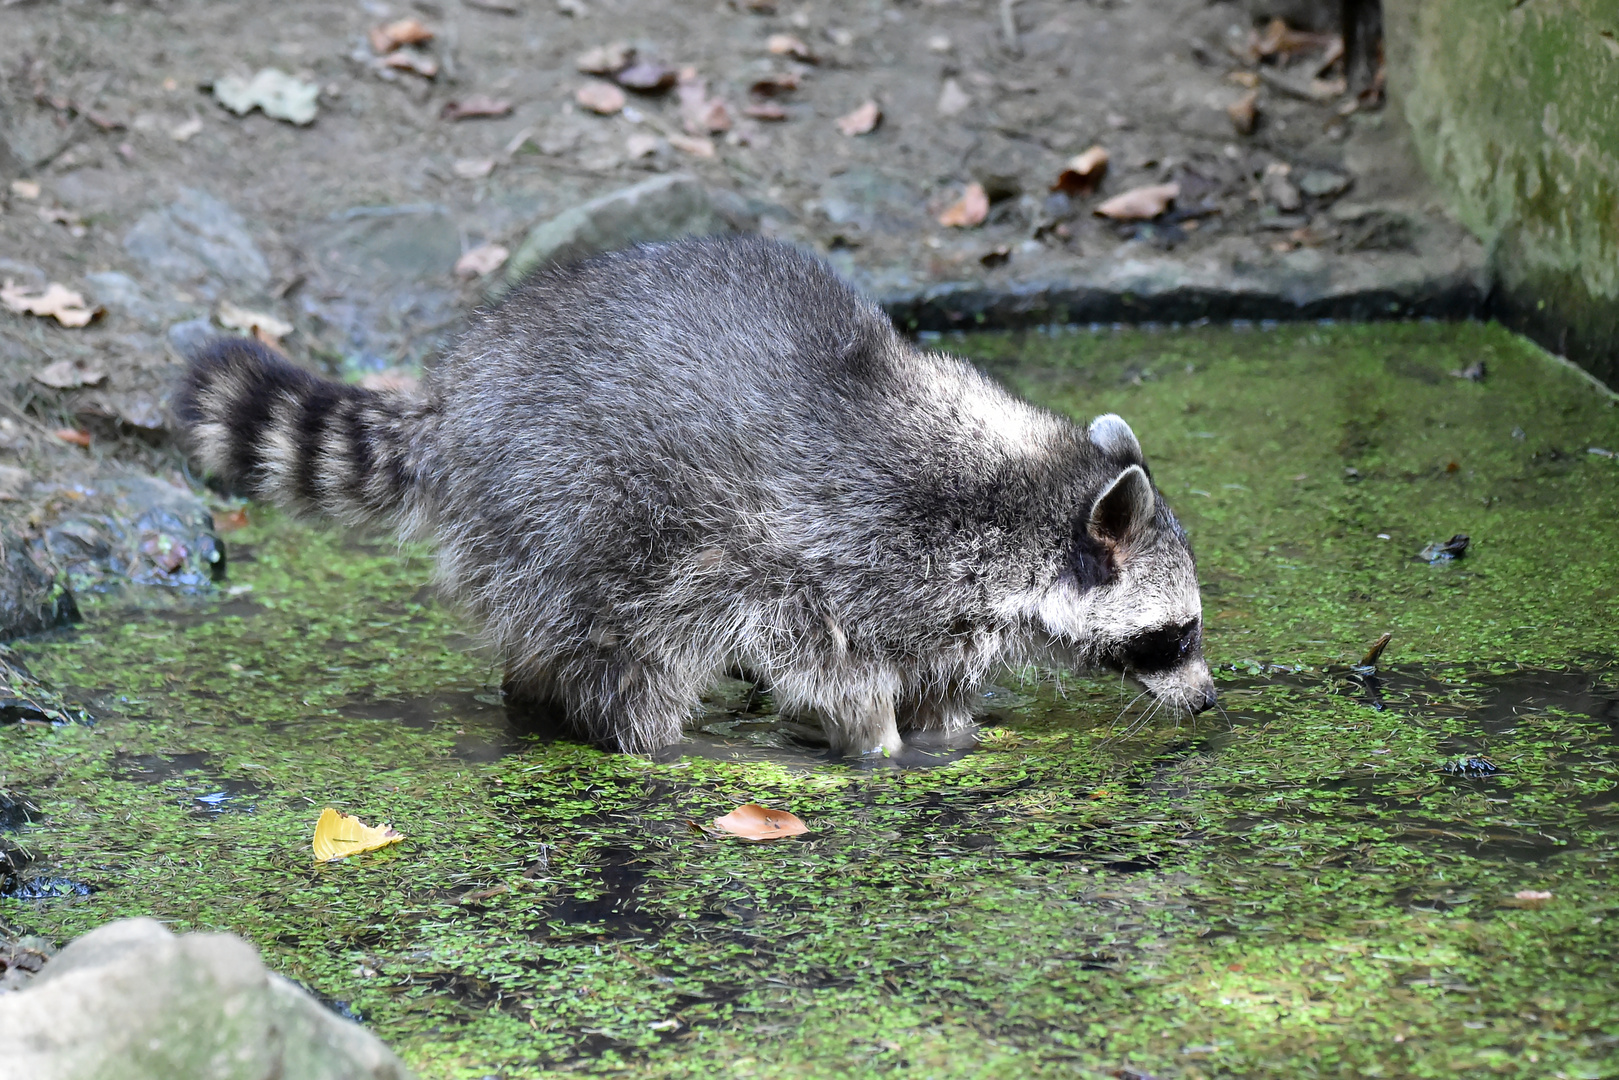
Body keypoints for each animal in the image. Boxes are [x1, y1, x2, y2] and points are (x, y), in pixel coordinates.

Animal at [180, 234, 1217, 761]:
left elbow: (936, 675)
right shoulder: (832, 546)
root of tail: (459, 396)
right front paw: (873, 739)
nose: (1208, 701)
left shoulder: (942, 597)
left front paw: (947, 729)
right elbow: (828, 664)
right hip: (585, 508)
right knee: (626, 645)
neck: (1022, 504)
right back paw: (647, 737)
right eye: (1177, 636)